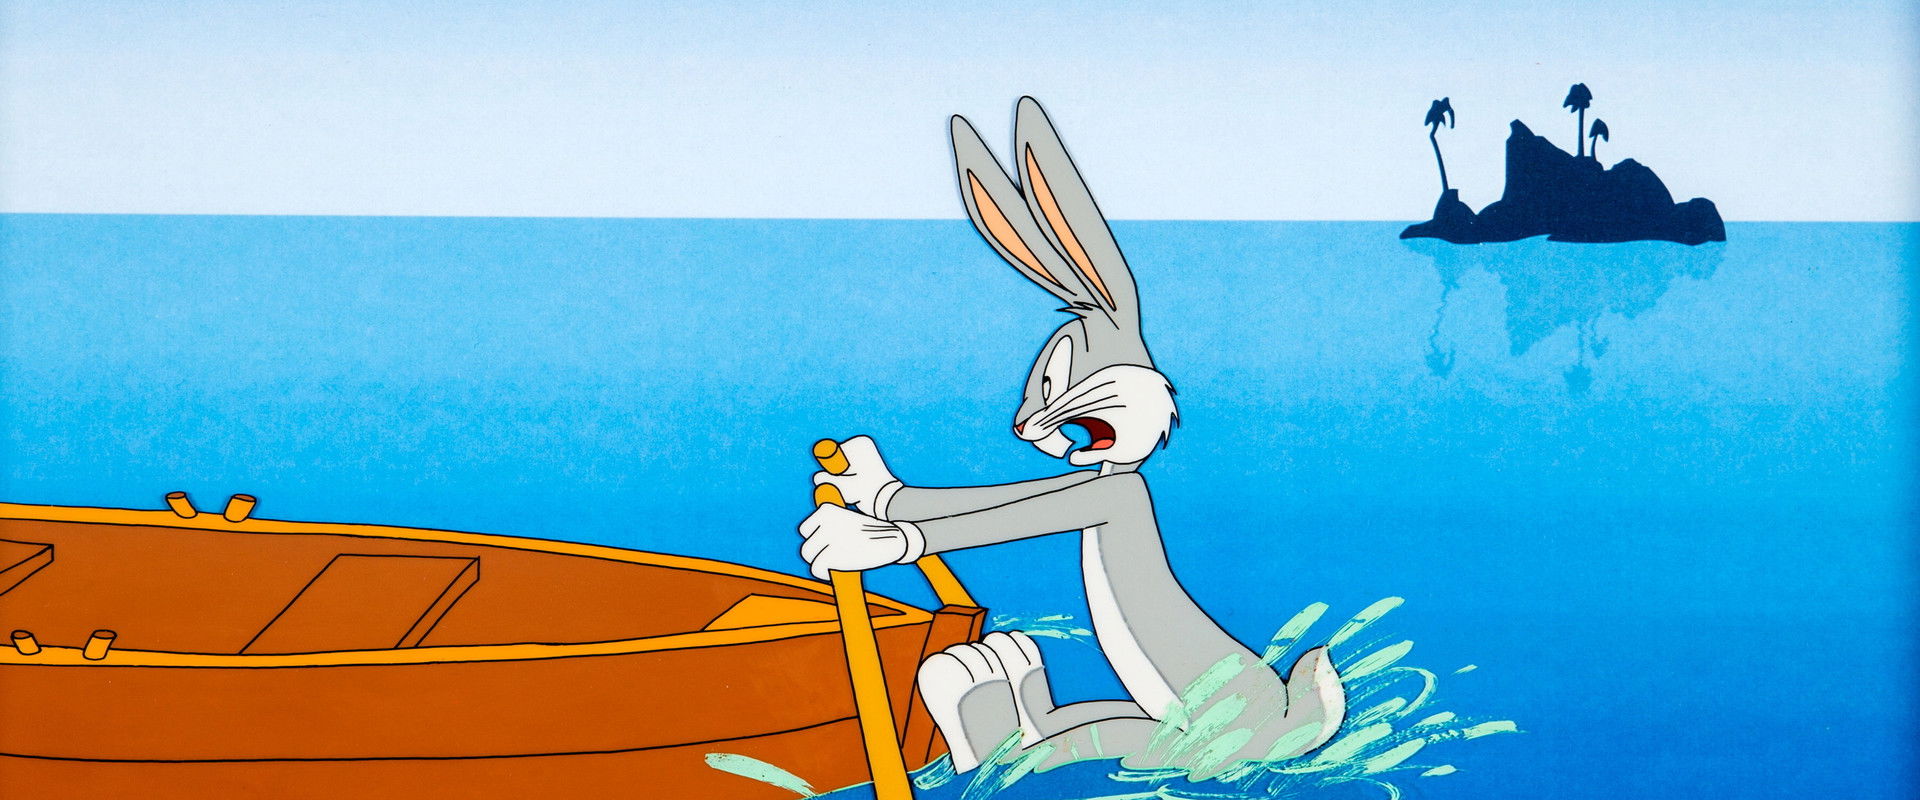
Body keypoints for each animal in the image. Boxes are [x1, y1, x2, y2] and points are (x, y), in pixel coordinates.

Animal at [796, 97, 1346, 775]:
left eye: (1051, 376)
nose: (1017, 425)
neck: (1122, 465)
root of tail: (1295, 726)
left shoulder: (1110, 494)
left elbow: (1015, 514)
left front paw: (861, 539)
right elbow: (998, 498)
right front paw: (868, 480)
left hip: (1192, 742)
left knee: (1074, 746)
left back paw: (973, 693)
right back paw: (998, 677)